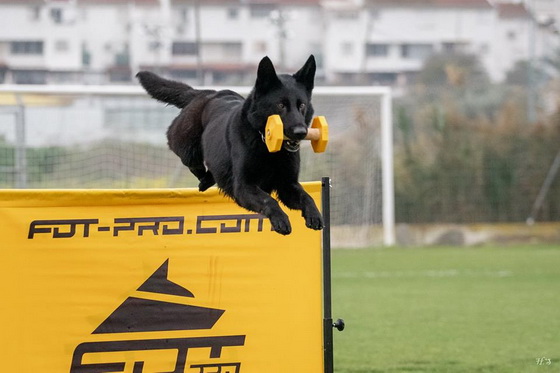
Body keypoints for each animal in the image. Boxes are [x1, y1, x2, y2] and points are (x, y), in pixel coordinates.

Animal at [136, 55, 324, 234]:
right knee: (192, 161)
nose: (301, 132)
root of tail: (208, 93)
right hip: (185, 146)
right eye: (280, 105)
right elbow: (268, 200)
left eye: (302, 105)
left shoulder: (287, 185)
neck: (267, 147)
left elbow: (306, 196)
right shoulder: (244, 187)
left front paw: (314, 214)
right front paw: (281, 219)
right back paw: (205, 180)